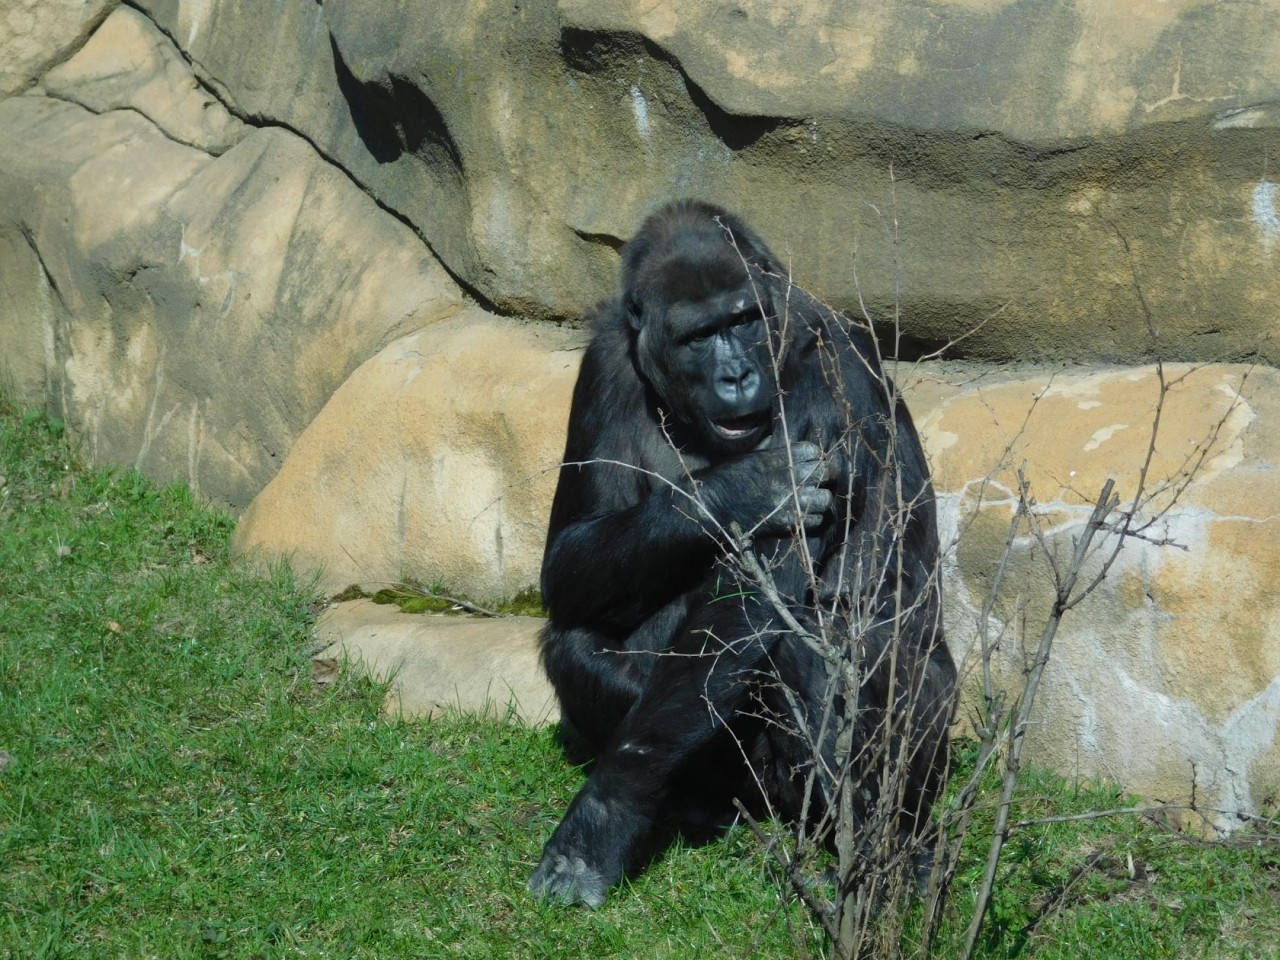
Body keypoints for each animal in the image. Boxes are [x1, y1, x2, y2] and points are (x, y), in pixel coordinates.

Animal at [524, 199, 957, 906]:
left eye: (743, 320)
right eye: (700, 336)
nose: (737, 376)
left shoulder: (825, 364)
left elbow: (763, 599)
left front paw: (601, 817)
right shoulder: (605, 364)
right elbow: (567, 561)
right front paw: (748, 488)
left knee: (818, 643)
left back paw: (888, 848)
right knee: (575, 640)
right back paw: (698, 804)